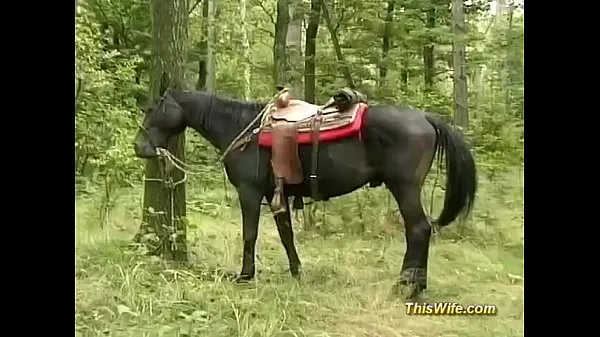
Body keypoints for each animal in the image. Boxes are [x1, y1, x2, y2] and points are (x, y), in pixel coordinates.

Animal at [132, 89, 478, 300]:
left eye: (153, 109)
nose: (140, 147)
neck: (244, 131)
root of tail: (425, 118)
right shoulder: (277, 194)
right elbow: (286, 234)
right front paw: (297, 271)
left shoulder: (250, 193)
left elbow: (250, 234)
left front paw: (245, 276)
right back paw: (416, 285)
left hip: (404, 188)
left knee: (418, 229)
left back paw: (407, 286)